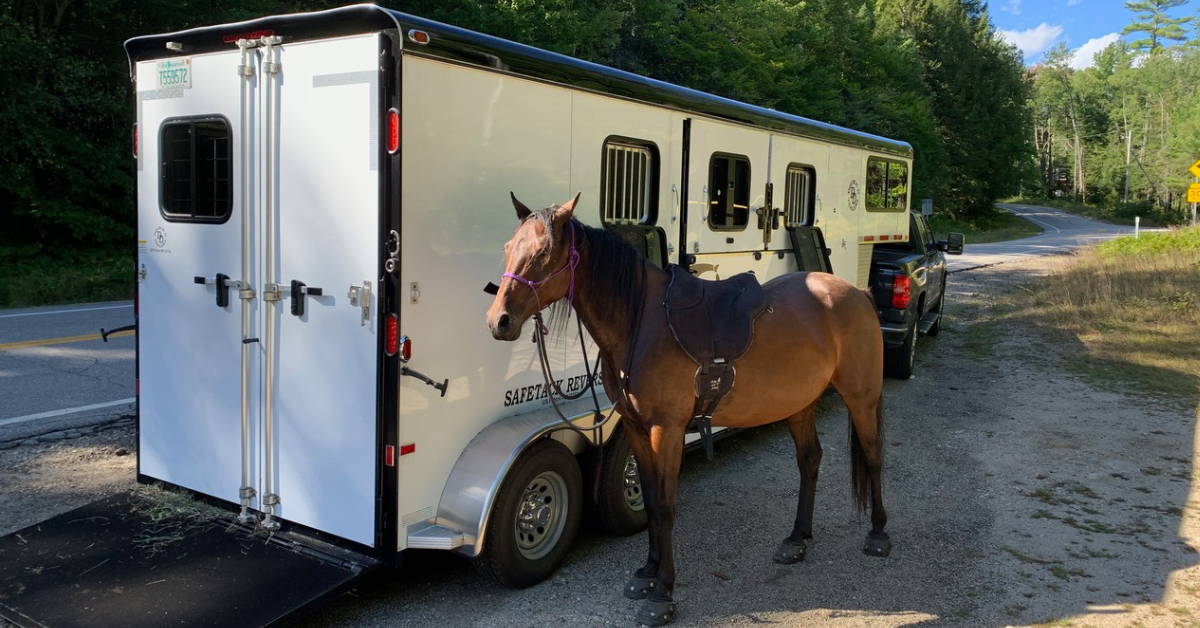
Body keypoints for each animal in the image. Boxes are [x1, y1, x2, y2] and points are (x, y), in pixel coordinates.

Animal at [486, 193, 890, 626]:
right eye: (508, 248)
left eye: (544, 253)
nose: (498, 321)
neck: (641, 323)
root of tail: (856, 293)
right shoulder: (636, 428)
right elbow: (649, 498)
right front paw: (646, 572)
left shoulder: (667, 429)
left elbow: (665, 507)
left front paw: (662, 593)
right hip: (799, 402)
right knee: (810, 460)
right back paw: (797, 540)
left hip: (861, 397)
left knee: (873, 456)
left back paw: (878, 534)